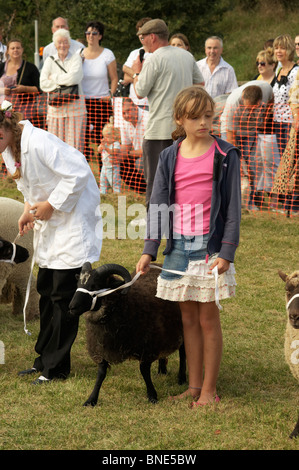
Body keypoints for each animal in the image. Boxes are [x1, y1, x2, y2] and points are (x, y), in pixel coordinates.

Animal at [69, 262, 186, 406]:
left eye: (94, 286)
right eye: (78, 284)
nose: (71, 307)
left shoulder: (148, 347)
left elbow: (144, 371)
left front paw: (152, 395)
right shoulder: (100, 348)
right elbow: (101, 373)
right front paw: (91, 400)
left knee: (183, 353)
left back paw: (181, 378)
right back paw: (162, 371)